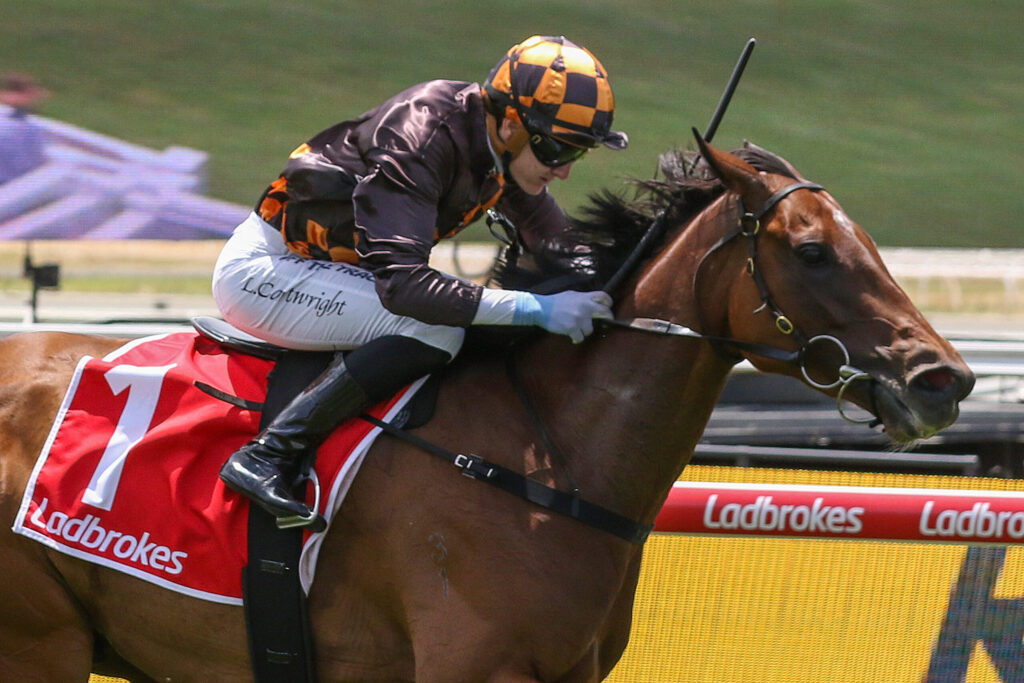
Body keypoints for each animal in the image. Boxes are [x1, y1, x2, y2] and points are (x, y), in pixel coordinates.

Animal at [0, 134, 973, 682]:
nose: (944, 379)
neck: (549, 461)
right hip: (39, 643)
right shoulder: (477, 665)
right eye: (811, 251)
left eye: (869, 242)